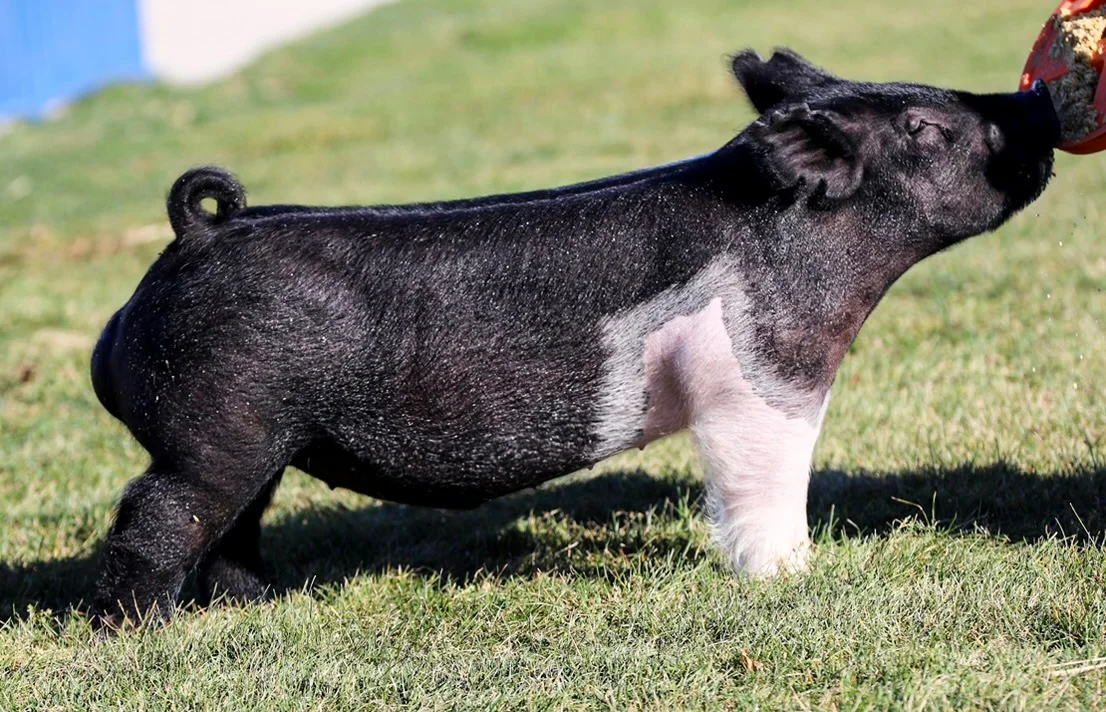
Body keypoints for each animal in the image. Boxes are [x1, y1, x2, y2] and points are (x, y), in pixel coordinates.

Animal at [89, 48, 1059, 626]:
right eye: (925, 129)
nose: (1038, 98)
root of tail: (196, 234)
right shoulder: (761, 379)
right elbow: (766, 480)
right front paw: (792, 580)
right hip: (215, 430)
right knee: (155, 515)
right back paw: (145, 633)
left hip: (257, 438)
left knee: (233, 527)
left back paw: (256, 608)